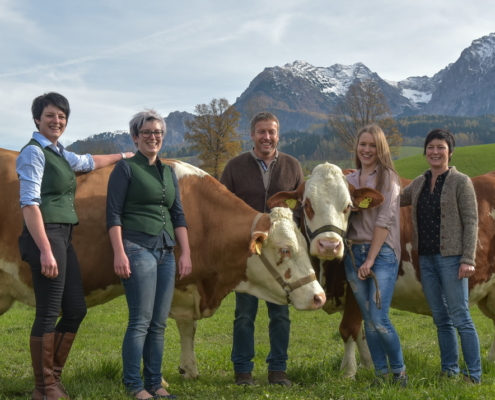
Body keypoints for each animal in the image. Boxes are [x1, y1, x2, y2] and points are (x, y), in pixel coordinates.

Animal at [0, 147, 326, 378]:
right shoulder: (173, 284)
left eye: (303, 244)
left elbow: (186, 328)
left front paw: (188, 369)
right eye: (285, 250)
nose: (319, 297)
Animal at [270, 162, 495, 378]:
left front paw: (348, 372)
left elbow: (349, 328)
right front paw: (368, 365)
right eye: (307, 205)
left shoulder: (354, 289)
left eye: (348, 207)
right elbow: (363, 332)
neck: (327, 271)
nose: (329, 245)